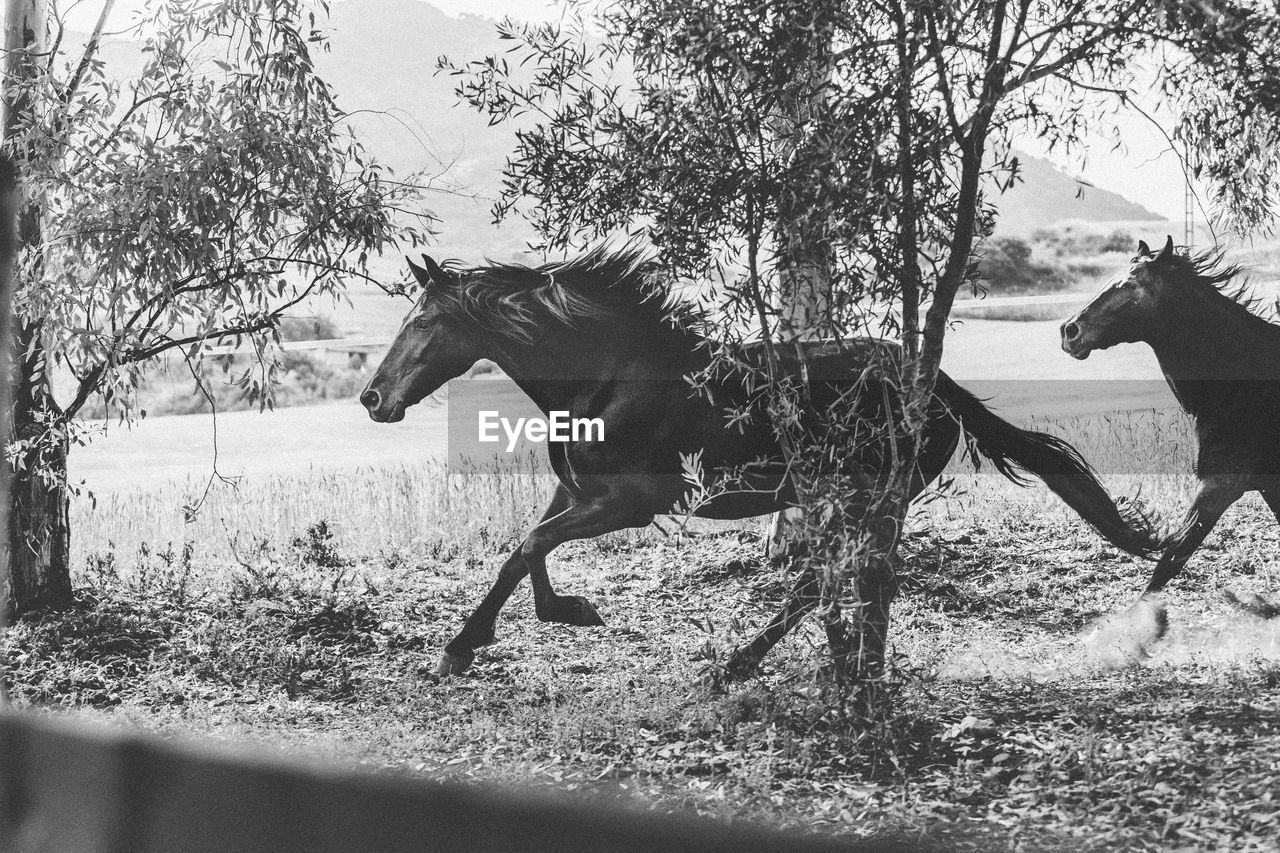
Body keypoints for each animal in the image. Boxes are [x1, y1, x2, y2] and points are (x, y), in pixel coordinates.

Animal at [363, 247, 1162, 676]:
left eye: (423, 322)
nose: (373, 398)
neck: (609, 376)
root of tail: (932, 386)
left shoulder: (630, 503)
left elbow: (529, 545)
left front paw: (546, 619)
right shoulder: (577, 494)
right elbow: (517, 553)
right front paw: (476, 641)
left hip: (868, 492)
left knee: (824, 579)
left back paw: (740, 665)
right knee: (839, 579)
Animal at [1059, 239, 1280, 625]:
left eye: (1129, 285)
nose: (1069, 331)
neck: (1247, 385)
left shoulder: (1220, 485)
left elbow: (1171, 559)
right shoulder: (1269, 484)